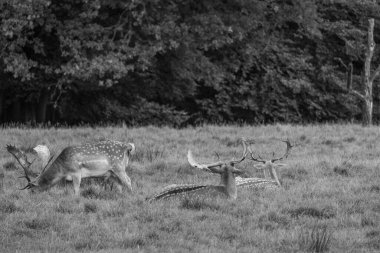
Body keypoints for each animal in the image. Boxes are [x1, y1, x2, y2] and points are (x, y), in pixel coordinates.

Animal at [5, 140, 135, 196]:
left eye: (32, 189)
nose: (31, 196)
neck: (63, 169)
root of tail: (128, 146)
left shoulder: (76, 172)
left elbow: (76, 190)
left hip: (119, 167)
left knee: (128, 181)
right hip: (111, 172)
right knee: (119, 185)